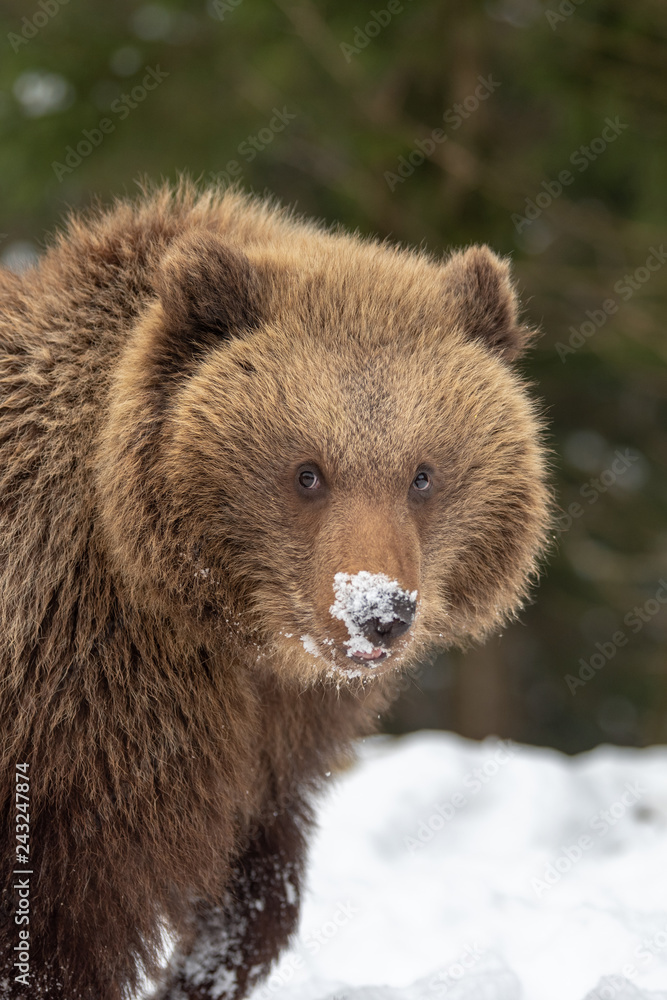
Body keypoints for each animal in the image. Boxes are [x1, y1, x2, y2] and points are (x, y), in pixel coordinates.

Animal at [0, 180, 551, 1000]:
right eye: (307, 472)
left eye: (422, 474)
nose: (377, 611)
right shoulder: (83, 712)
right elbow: (59, 924)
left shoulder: (272, 733)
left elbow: (259, 876)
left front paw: (207, 968)